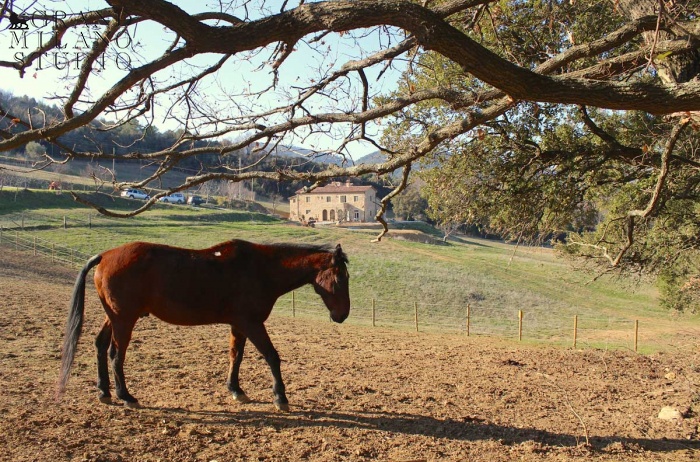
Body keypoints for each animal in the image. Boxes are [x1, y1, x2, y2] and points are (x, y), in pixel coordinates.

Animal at [55, 240, 350, 410]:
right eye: (340, 277)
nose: (342, 315)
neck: (259, 269)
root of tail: (105, 255)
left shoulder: (239, 324)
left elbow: (236, 356)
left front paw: (236, 390)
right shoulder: (252, 323)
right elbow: (271, 356)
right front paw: (280, 397)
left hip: (115, 317)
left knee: (100, 346)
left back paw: (104, 391)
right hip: (125, 319)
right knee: (115, 354)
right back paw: (125, 396)